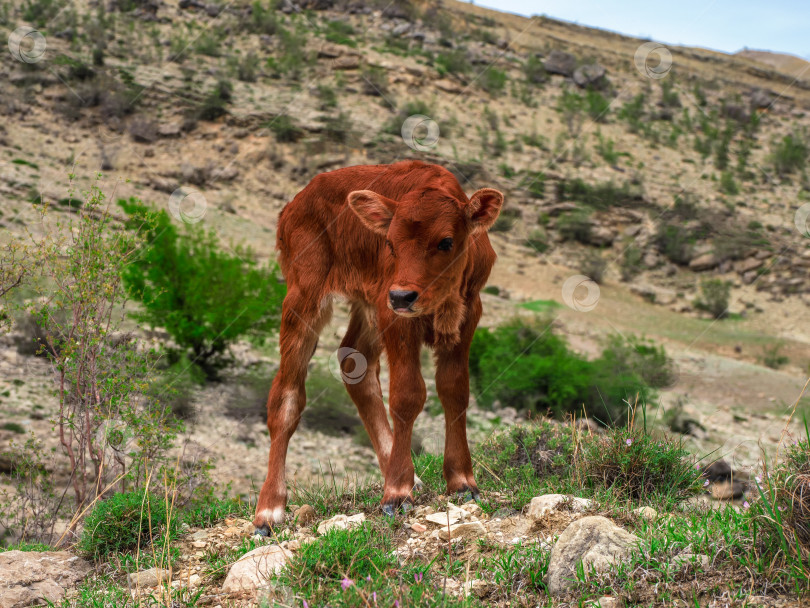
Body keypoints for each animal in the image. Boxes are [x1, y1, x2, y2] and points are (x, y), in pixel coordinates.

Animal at [256, 158, 502, 532]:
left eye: (446, 241)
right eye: (390, 243)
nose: (403, 295)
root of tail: (296, 202)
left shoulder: (469, 312)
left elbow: (455, 390)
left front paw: (461, 480)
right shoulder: (394, 316)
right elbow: (407, 394)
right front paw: (397, 492)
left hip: (367, 305)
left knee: (353, 361)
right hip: (305, 295)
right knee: (286, 394)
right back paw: (270, 509)